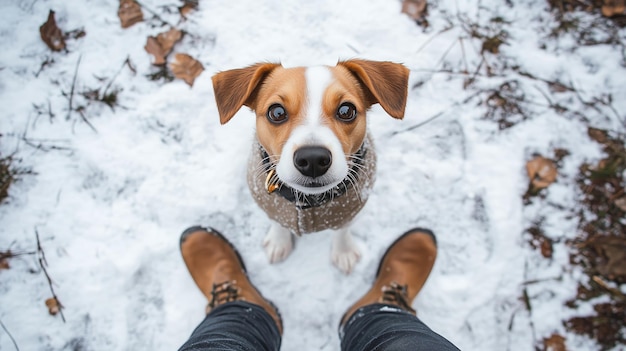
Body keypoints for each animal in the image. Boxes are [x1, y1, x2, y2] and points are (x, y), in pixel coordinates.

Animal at [212, 59, 408, 276]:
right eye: (277, 112)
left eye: (346, 110)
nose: (313, 158)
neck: (308, 202)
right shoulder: (272, 205)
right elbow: (278, 221)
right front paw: (279, 242)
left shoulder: (349, 209)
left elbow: (342, 230)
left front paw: (343, 251)